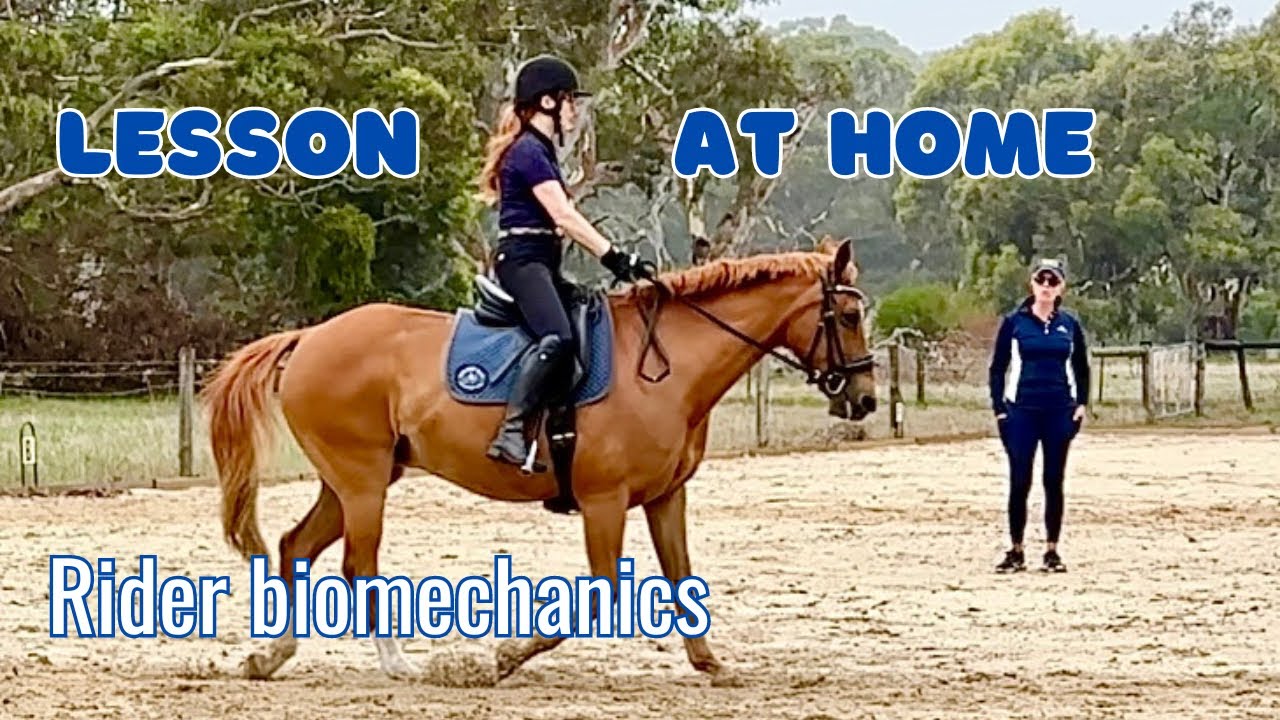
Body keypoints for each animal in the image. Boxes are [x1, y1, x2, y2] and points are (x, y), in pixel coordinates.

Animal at [200, 236, 877, 686]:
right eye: (847, 315)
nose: (866, 399)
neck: (668, 367)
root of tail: (310, 336)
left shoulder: (666, 496)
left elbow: (682, 577)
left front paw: (711, 663)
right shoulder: (604, 502)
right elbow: (603, 590)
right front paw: (504, 657)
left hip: (351, 482)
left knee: (296, 548)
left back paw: (270, 656)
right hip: (363, 483)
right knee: (356, 566)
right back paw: (401, 663)